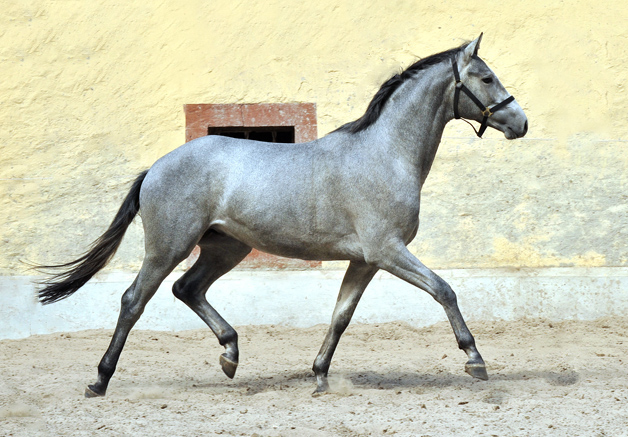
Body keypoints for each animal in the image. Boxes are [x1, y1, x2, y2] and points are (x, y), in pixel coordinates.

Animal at [36, 34, 528, 396]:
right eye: (486, 78)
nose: (521, 123)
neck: (385, 155)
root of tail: (155, 168)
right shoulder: (387, 251)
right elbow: (444, 290)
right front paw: (475, 360)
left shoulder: (365, 260)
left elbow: (341, 316)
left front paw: (320, 375)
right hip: (168, 246)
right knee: (134, 300)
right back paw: (100, 380)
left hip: (226, 248)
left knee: (186, 289)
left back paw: (230, 355)